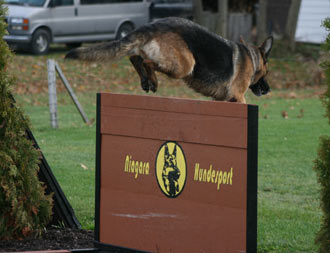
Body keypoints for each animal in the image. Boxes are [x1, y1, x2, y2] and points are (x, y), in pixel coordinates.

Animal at [65, 17, 272, 103]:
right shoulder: (238, 96)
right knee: (147, 62)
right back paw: (153, 81)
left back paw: (145, 81)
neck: (252, 59)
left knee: (135, 57)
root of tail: (154, 24)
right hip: (185, 65)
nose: (269, 90)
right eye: (266, 73)